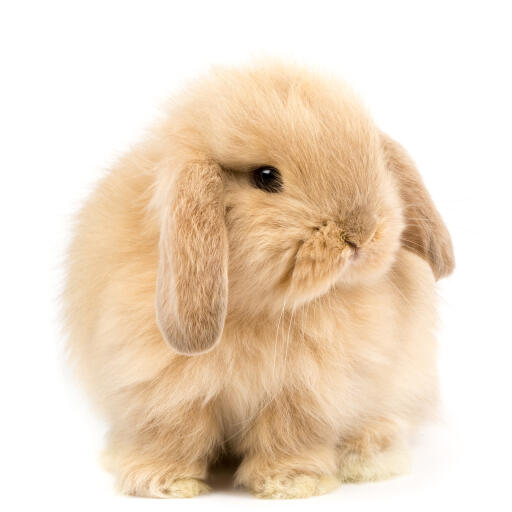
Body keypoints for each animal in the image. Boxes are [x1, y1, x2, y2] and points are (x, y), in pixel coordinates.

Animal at [63, 61, 452, 500]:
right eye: (266, 177)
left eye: (374, 160)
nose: (361, 234)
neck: (258, 308)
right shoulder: (160, 388)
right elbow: (172, 434)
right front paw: (163, 482)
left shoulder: (304, 391)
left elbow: (288, 435)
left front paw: (293, 482)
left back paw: (367, 456)